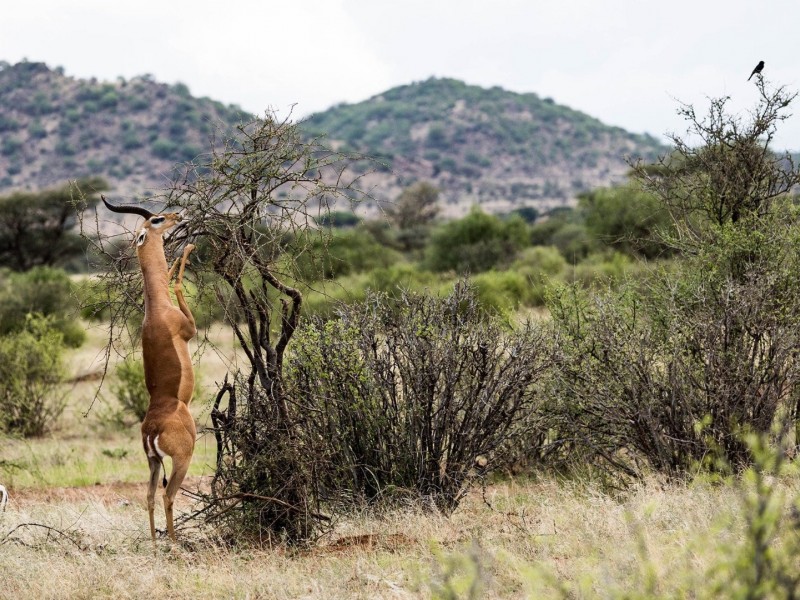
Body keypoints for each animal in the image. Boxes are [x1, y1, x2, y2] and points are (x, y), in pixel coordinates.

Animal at [103, 197, 197, 544]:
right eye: (156, 220)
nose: (178, 214)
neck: (157, 308)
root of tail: (152, 429)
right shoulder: (190, 328)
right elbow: (179, 282)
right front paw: (190, 247)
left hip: (153, 462)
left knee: (147, 497)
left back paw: (156, 545)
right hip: (182, 458)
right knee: (168, 495)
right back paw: (174, 543)